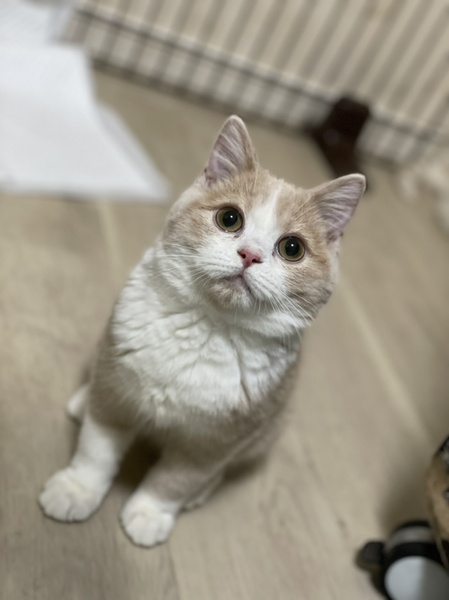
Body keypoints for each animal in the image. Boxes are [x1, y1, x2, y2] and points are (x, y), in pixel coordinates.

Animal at [39, 115, 366, 547]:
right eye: (229, 218)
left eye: (292, 248)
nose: (250, 254)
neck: (207, 329)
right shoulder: (118, 389)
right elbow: (98, 447)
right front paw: (77, 488)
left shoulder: (217, 440)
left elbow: (177, 478)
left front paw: (150, 512)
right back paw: (82, 400)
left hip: (270, 427)